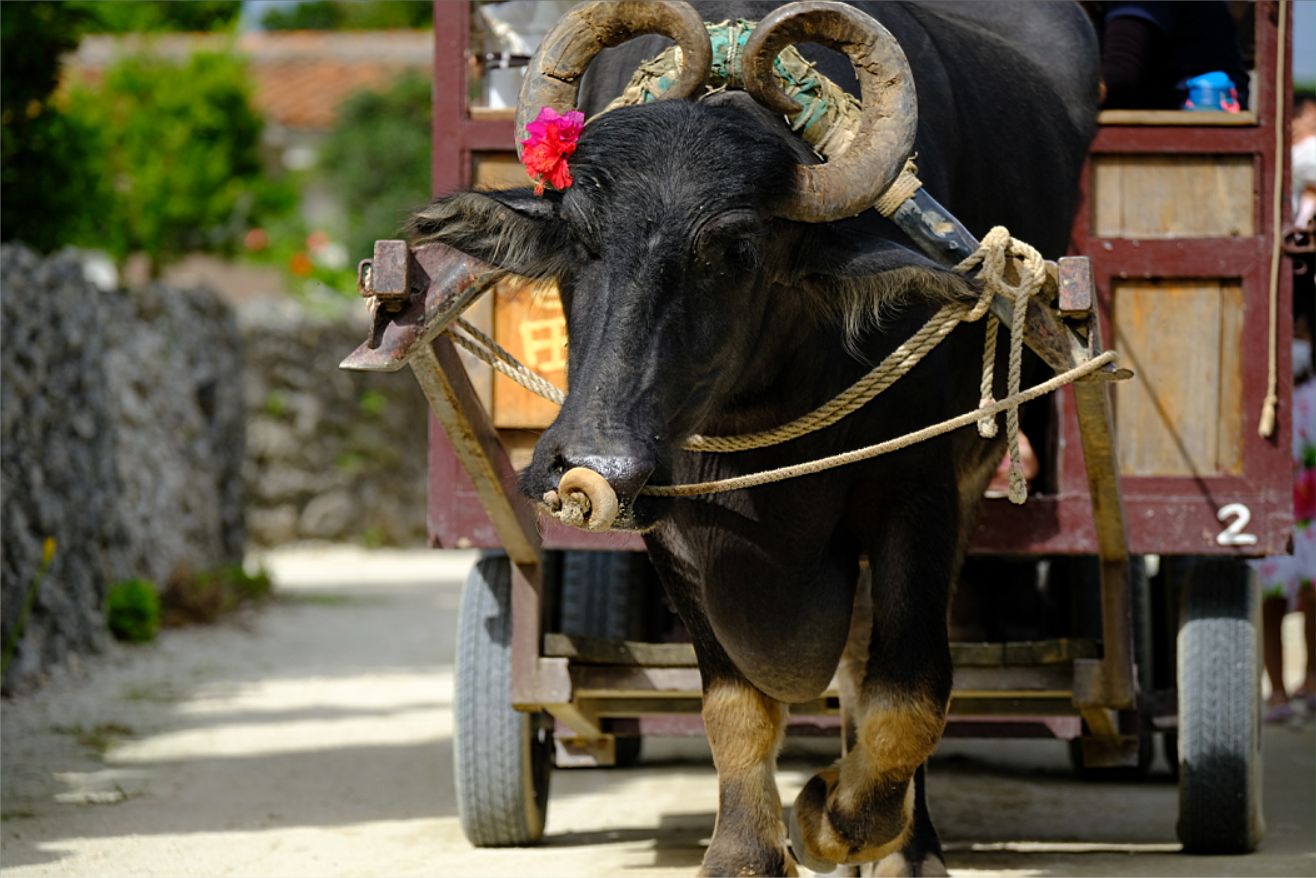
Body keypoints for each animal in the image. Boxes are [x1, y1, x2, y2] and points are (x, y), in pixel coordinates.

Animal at [413, 3, 1100, 874]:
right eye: (579, 239)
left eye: (734, 250)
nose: (593, 463)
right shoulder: (669, 519)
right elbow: (735, 701)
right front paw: (746, 848)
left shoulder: (917, 492)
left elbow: (909, 694)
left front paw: (838, 819)